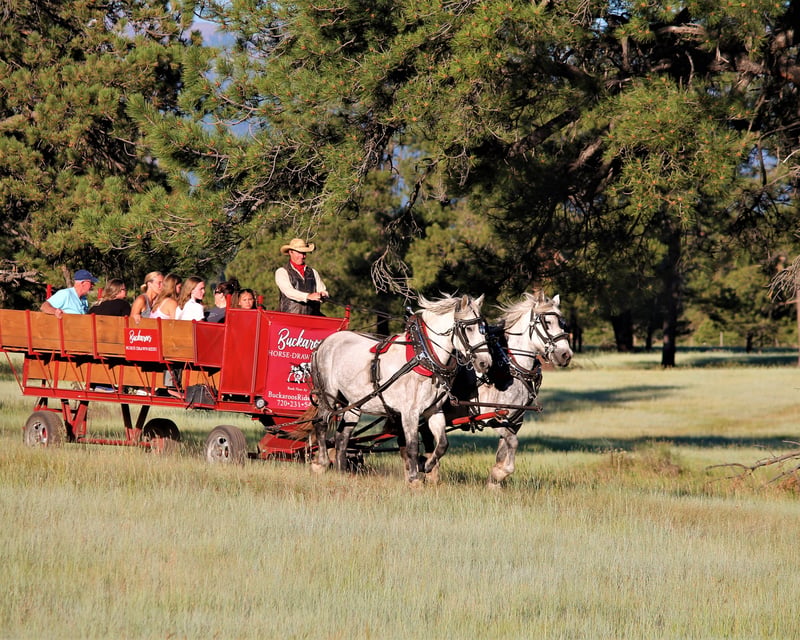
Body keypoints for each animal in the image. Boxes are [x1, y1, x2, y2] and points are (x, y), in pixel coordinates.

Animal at [310, 293, 492, 486]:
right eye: (469, 328)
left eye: (484, 329)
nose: (485, 363)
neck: (423, 357)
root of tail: (324, 343)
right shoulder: (409, 412)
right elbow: (412, 446)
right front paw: (414, 478)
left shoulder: (433, 410)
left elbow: (442, 444)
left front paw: (426, 466)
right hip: (328, 395)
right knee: (321, 424)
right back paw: (321, 463)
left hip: (354, 403)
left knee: (342, 437)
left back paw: (342, 471)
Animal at [441, 291, 573, 487]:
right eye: (547, 322)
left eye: (562, 323)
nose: (566, 355)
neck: (508, 366)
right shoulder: (495, 418)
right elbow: (513, 444)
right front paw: (498, 474)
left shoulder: (513, 421)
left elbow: (504, 450)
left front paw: (494, 482)